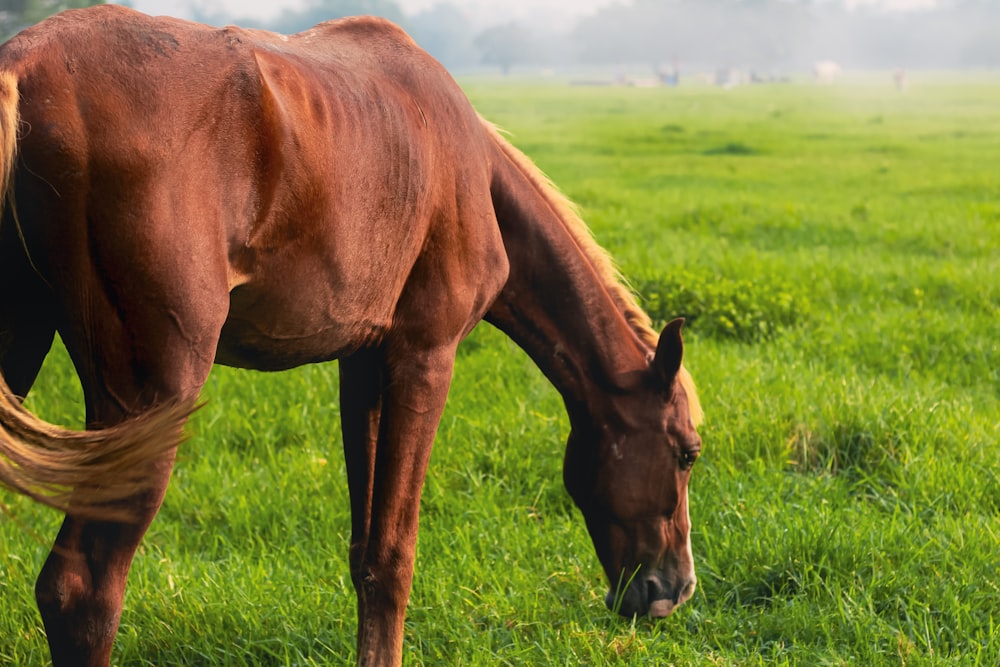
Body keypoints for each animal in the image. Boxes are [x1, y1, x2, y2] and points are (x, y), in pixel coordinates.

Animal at [0, 6, 704, 667]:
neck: (469, 165)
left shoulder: (363, 365)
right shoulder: (425, 358)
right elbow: (394, 556)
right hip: (151, 400)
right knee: (81, 591)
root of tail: (26, 64)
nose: (674, 589)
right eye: (688, 453)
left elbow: (365, 552)